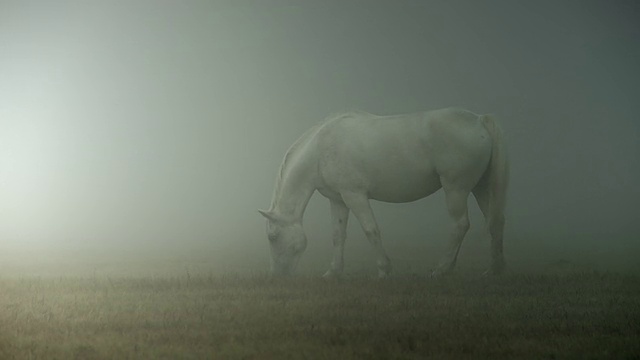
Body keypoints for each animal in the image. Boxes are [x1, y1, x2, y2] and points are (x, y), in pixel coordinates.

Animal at [258, 107, 508, 278]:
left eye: (273, 237)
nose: (277, 275)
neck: (320, 149)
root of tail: (479, 120)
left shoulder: (355, 196)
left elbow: (371, 230)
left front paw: (384, 269)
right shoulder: (338, 200)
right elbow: (338, 235)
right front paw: (334, 272)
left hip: (455, 189)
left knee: (460, 225)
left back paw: (441, 268)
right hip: (480, 189)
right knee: (494, 222)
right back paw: (492, 269)